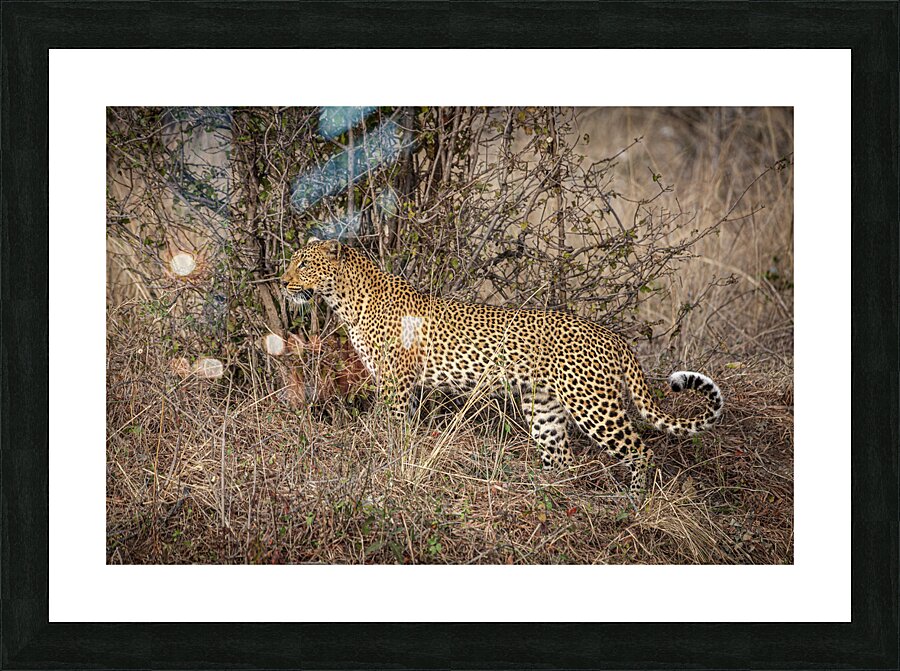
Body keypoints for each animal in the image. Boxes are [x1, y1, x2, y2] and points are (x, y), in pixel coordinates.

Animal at [281, 239, 724, 493]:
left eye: (304, 264)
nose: (283, 283)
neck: (344, 299)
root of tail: (613, 337)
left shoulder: (396, 382)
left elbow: (390, 427)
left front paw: (382, 462)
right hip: (543, 406)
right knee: (561, 458)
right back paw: (548, 493)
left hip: (593, 405)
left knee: (640, 451)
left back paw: (634, 500)